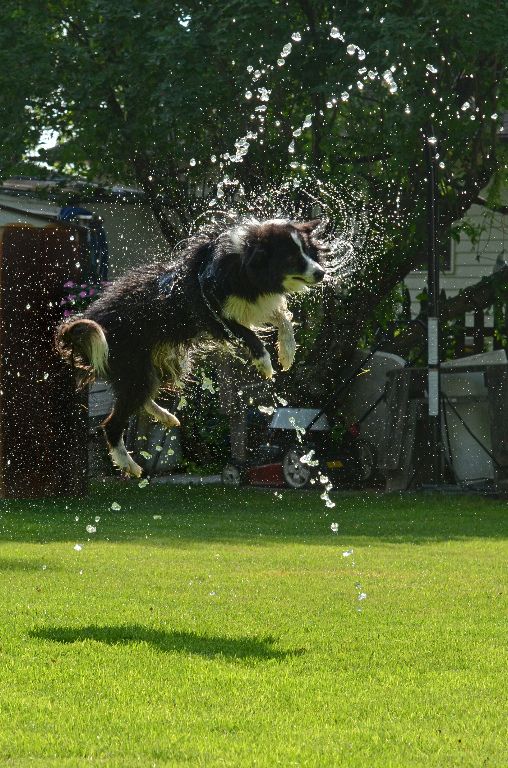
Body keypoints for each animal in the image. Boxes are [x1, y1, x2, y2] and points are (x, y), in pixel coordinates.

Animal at [55, 219, 326, 476]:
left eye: (308, 252)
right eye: (291, 257)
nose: (321, 273)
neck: (242, 262)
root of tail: (94, 318)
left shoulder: (252, 303)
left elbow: (283, 318)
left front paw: (287, 352)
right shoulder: (213, 314)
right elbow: (250, 335)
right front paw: (265, 362)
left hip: (146, 367)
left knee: (141, 396)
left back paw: (165, 416)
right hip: (133, 369)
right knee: (112, 423)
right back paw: (128, 464)